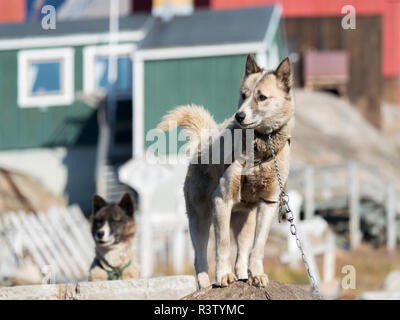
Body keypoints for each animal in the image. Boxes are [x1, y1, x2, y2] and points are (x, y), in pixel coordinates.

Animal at [159, 54, 294, 288]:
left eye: (261, 97)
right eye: (244, 95)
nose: (239, 116)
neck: (260, 146)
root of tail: (204, 140)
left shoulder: (269, 204)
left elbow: (258, 247)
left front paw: (257, 274)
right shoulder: (222, 200)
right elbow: (222, 244)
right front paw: (223, 275)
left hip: (245, 222)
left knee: (242, 253)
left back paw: (243, 275)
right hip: (200, 219)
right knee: (200, 258)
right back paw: (205, 285)